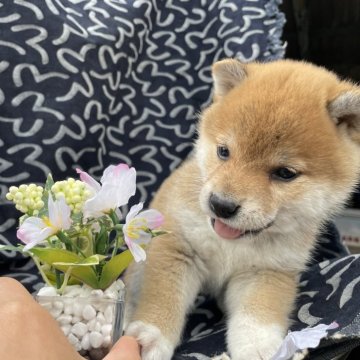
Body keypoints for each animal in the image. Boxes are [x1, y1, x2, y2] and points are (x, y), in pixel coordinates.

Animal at [125, 59, 360, 360]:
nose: (221, 205)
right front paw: (150, 337)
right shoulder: (178, 248)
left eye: (285, 173)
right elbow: (162, 298)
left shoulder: (265, 272)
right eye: (224, 152)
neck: (231, 245)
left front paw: (260, 350)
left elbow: (254, 322)